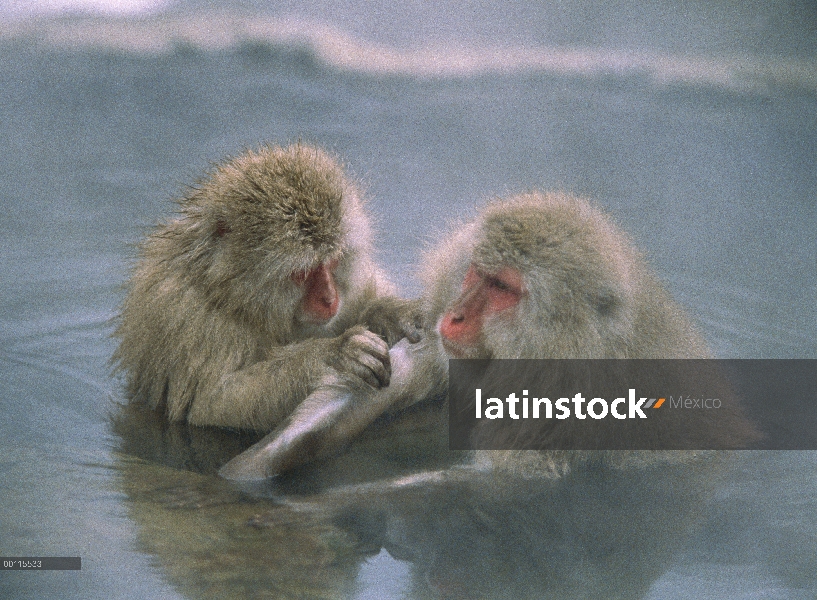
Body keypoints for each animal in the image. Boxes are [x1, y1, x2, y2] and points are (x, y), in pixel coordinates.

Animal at [113, 141, 420, 432]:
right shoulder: (191, 317)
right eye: (302, 273)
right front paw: (333, 355)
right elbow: (213, 404)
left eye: (332, 261)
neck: (231, 294)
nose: (329, 298)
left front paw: (389, 312)